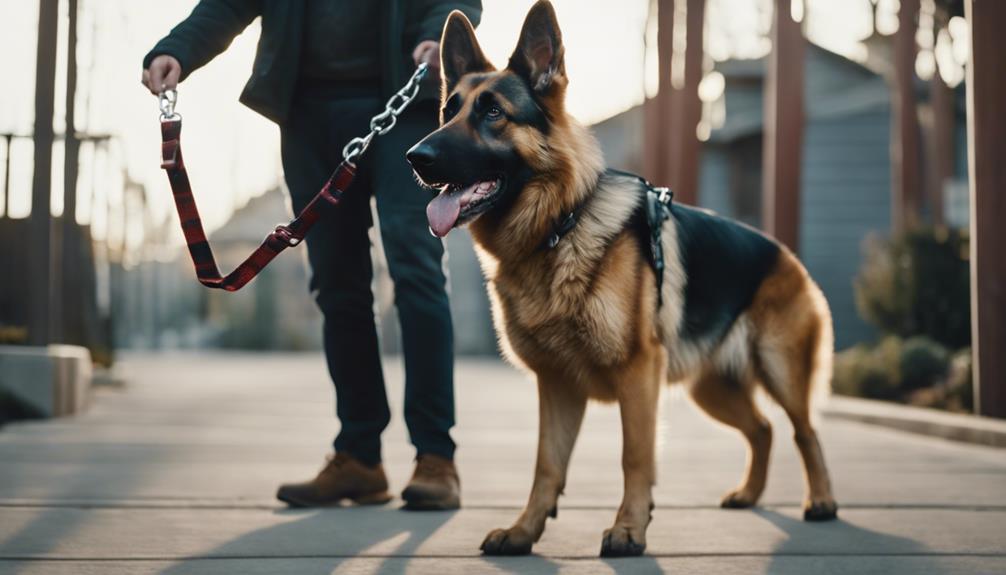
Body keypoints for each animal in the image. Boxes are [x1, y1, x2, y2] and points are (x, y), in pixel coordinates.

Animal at [404, 1, 836, 558]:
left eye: (493, 113)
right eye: (448, 111)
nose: (414, 157)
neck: (559, 227)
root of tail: (785, 252)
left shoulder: (637, 375)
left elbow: (635, 456)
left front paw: (629, 529)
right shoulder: (557, 384)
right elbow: (546, 465)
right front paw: (525, 532)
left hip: (780, 369)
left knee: (805, 431)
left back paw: (822, 501)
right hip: (711, 390)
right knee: (762, 429)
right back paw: (749, 493)